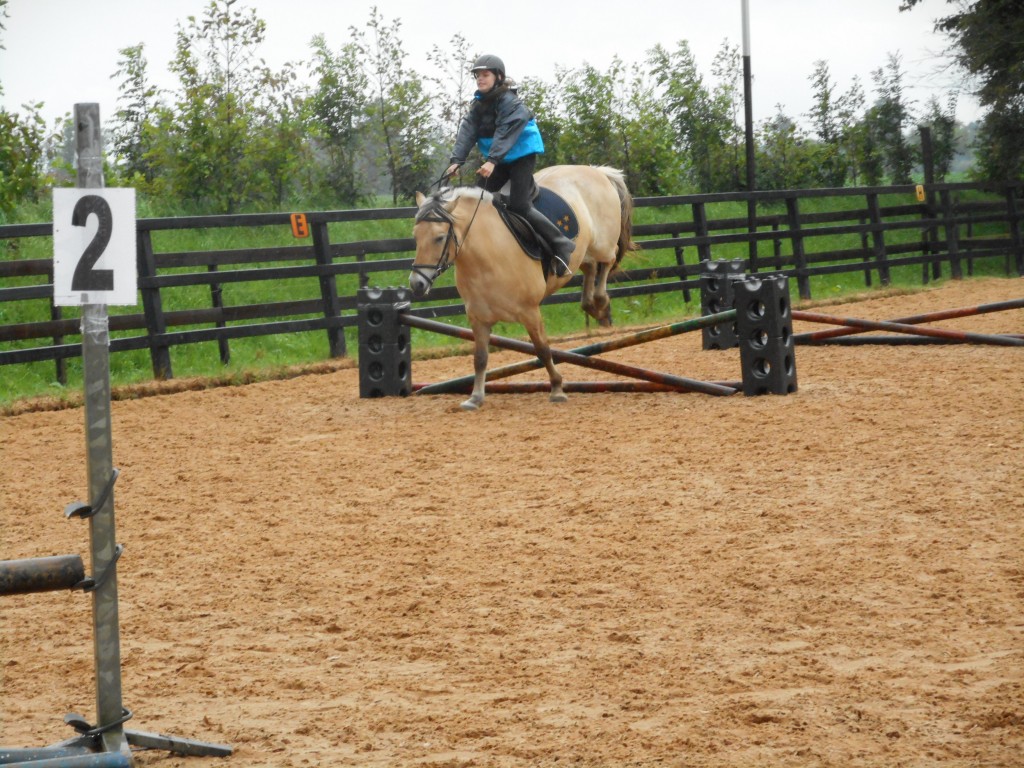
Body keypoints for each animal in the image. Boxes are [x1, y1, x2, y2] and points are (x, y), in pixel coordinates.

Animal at [409, 164, 636, 411]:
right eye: (416, 237)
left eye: (440, 238)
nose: (417, 283)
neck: (486, 257)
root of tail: (598, 171)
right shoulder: (478, 319)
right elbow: (480, 358)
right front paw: (475, 397)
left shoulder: (530, 312)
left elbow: (542, 349)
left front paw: (557, 388)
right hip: (583, 251)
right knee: (590, 266)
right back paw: (592, 306)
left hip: (602, 244)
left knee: (608, 259)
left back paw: (600, 302)